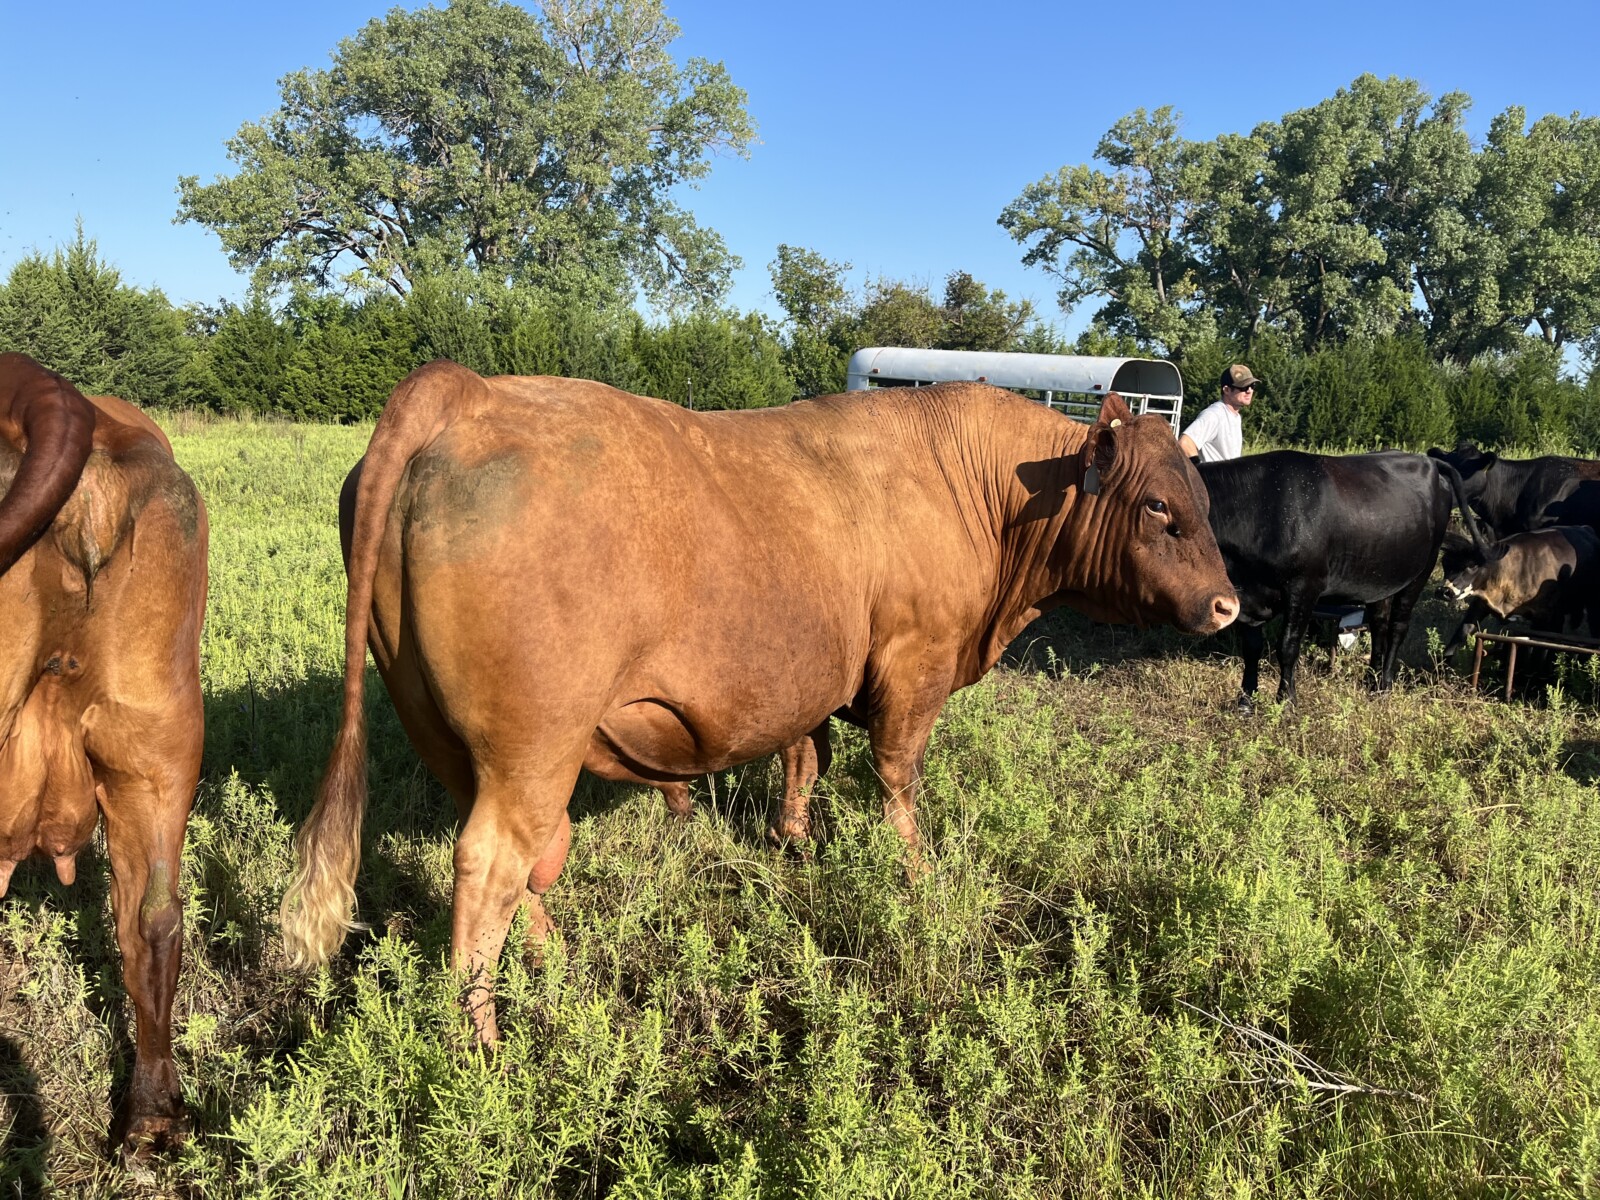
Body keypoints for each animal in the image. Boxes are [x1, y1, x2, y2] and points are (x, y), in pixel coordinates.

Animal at [280, 361, 1238, 1042]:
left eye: (1204, 502)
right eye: (1160, 507)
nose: (1229, 606)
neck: (975, 489)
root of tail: (467, 391)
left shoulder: (811, 680)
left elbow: (804, 757)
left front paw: (794, 845)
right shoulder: (915, 667)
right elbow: (898, 782)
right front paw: (919, 881)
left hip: (445, 733)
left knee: (513, 870)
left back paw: (552, 962)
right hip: (531, 750)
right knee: (490, 866)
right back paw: (483, 1048)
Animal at [1198, 450, 1487, 710]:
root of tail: (1429, 461)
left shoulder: (1304, 587)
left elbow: (1287, 645)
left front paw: (1287, 702)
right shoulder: (1248, 595)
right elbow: (1251, 647)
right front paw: (1246, 701)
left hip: (1421, 570)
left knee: (1398, 627)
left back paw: (1385, 684)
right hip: (1381, 578)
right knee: (1380, 625)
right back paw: (1372, 680)